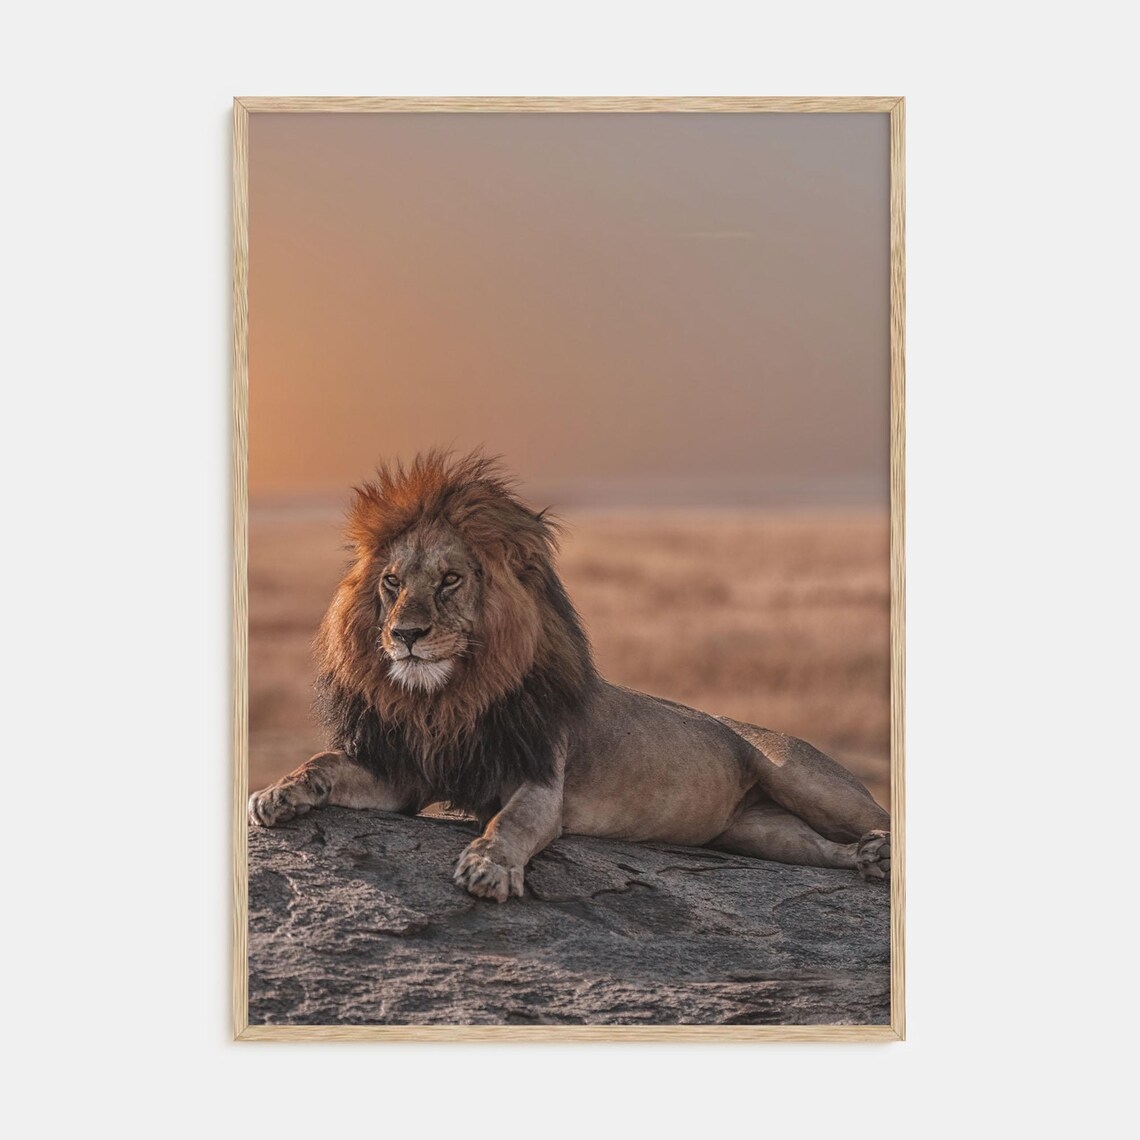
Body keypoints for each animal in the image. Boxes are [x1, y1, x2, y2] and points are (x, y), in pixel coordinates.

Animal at [249, 451, 891, 901]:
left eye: (450, 580)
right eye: (392, 583)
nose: (405, 634)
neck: (448, 698)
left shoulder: (538, 781)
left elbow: (507, 823)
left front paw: (488, 867)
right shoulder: (405, 774)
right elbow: (325, 763)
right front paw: (278, 792)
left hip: (806, 780)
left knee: (872, 818)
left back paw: (881, 851)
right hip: (755, 830)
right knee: (817, 848)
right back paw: (866, 860)